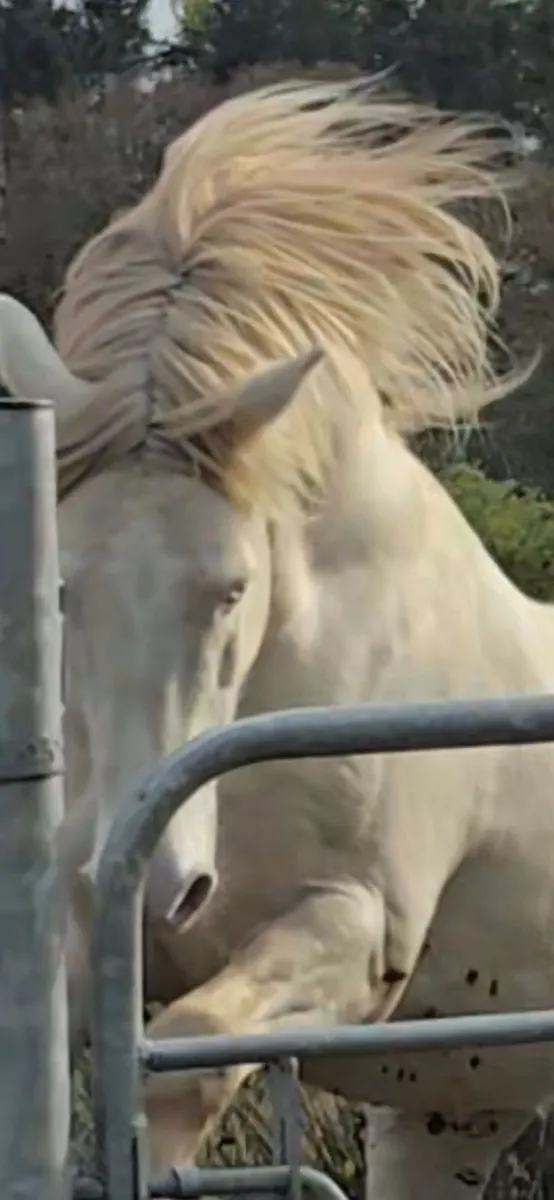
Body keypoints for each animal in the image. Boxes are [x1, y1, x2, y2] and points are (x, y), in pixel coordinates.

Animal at [0, 74, 550, 1200]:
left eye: (232, 588)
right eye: (61, 589)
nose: (159, 888)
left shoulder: (354, 931)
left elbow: (187, 1063)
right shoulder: (84, 932)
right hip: (452, 1116)